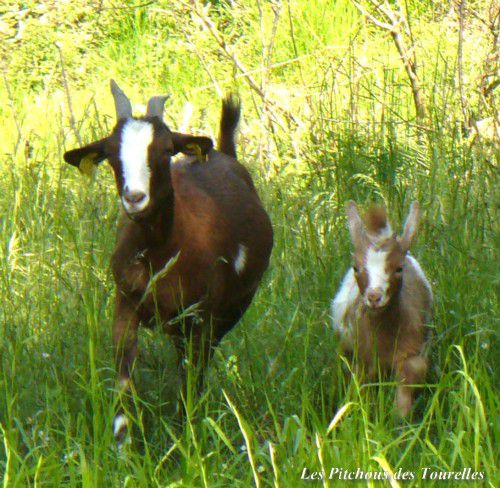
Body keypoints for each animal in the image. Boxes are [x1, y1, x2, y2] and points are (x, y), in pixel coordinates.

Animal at [63, 82, 274, 444]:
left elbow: (191, 377)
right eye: (111, 155)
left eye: (164, 150)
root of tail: (224, 154)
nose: (134, 198)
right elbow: (124, 371)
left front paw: (187, 437)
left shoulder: (201, 316)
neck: (160, 253)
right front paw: (123, 442)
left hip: (227, 311)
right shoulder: (126, 303)